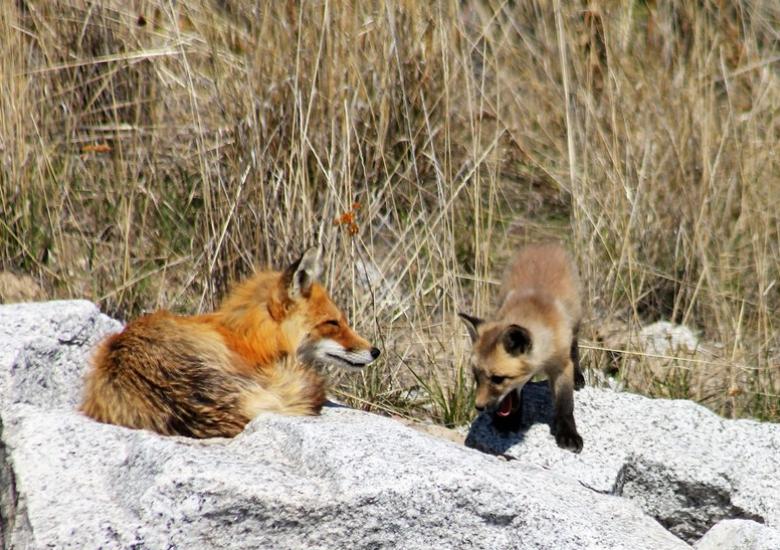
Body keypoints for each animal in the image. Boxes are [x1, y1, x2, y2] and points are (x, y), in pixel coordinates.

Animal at [459, 243, 585, 452]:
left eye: (498, 379)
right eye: (476, 377)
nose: (479, 407)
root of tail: (544, 244)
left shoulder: (561, 365)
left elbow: (565, 405)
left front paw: (568, 434)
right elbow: (513, 396)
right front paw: (509, 420)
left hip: (575, 320)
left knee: (575, 346)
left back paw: (579, 376)